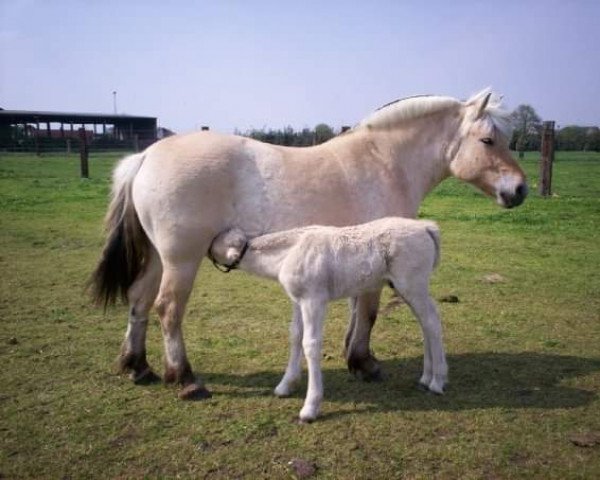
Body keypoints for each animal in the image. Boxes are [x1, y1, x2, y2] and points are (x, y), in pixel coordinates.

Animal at [209, 217, 448, 420]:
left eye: (214, 242)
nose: (204, 249)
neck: (288, 253)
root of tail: (426, 227)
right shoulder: (298, 300)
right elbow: (295, 336)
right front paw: (285, 386)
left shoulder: (314, 300)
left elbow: (311, 344)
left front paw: (310, 407)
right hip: (407, 287)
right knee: (425, 322)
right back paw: (426, 377)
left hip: (412, 283)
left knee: (432, 322)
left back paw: (437, 381)